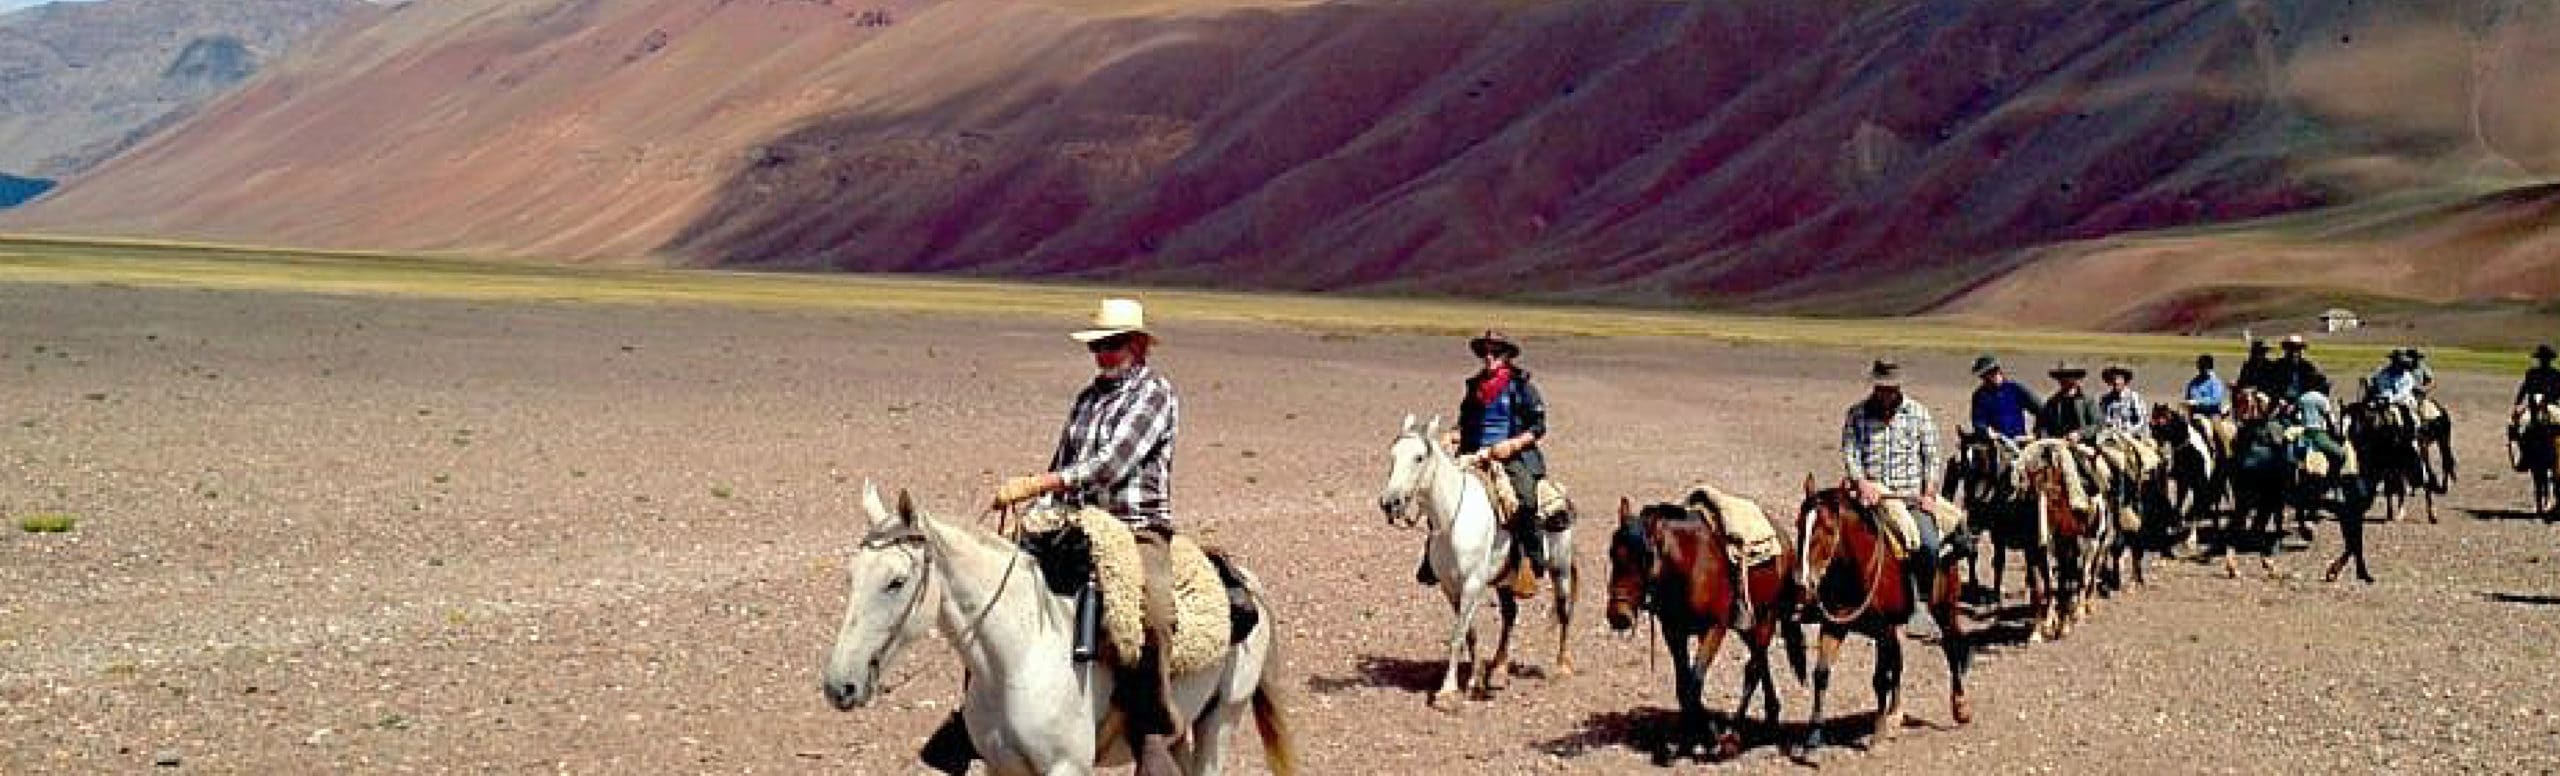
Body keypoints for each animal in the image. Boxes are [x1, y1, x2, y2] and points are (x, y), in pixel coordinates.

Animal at [824, 484, 1300, 773]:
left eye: (896, 581)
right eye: (850, 576)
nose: (839, 686)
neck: (1020, 657)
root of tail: (1246, 582)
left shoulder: (1066, 767)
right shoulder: (1000, 766)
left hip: (1223, 717)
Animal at [1372, 417, 1566, 717]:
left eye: (1419, 457)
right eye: (1392, 456)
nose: (1390, 503)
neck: (1453, 518)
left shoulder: (1472, 584)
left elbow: (1456, 636)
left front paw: (1447, 692)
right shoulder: (1452, 587)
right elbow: (1468, 634)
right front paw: (1474, 680)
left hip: (1561, 569)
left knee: (1564, 613)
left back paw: (1562, 667)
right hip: (1504, 579)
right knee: (1510, 615)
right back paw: (1498, 670)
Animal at [1607, 496, 1812, 763]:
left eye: (1646, 556)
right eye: (1612, 553)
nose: (1618, 616)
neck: (1687, 565)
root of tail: (1784, 540)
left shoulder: (1714, 628)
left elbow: (1695, 682)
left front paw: (1710, 737)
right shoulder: (1673, 632)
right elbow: (1683, 686)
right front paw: (1688, 737)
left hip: (1766, 616)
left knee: (1753, 668)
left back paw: (1733, 738)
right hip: (1747, 625)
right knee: (1760, 661)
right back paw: (1771, 716)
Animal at [1792, 476, 1966, 758]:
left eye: (1827, 529)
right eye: (1798, 525)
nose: (1802, 582)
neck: (1857, 569)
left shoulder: (1883, 630)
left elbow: (1879, 679)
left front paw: (1878, 735)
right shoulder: (1834, 626)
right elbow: (1821, 674)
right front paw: (1813, 737)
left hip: (1945, 608)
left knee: (1951, 647)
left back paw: (1960, 708)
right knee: (1899, 661)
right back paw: (1895, 715)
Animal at [1935, 427, 2037, 604]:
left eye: (1985, 461)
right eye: (1963, 465)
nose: (1974, 500)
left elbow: (2024, 562)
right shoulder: (1992, 530)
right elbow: (1994, 560)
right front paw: (1993, 594)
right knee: (1973, 552)